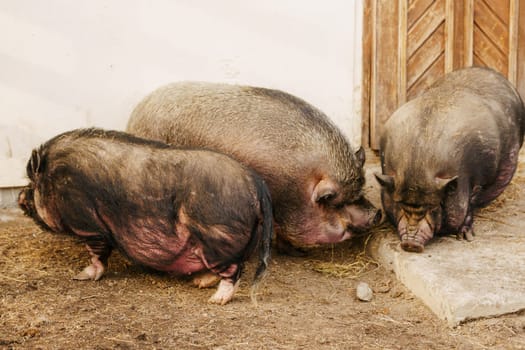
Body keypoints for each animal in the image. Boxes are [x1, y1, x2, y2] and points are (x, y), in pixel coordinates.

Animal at [17, 128, 270, 304]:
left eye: (32, 183)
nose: (20, 197)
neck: (54, 179)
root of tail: (257, 185)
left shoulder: (88, 223)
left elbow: (97, 254)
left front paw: (82, 276)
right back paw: (199, 282)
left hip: (218, 234)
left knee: (234, 270)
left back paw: (216, 300)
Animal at [374, 66, 524, 252]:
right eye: (400, 205)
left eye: (433, 207)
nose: (410, 244)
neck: (419, 164)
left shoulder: (478, 181)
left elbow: (470, 204)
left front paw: (466, 238)